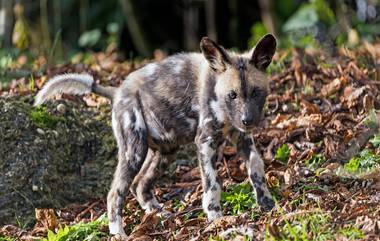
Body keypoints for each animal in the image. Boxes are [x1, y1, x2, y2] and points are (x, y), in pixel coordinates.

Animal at [35, 33, 276, 235]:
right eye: (232, 95)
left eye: (256, 92)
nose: (247, 120)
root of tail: (117, 92)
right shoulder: (205, 142)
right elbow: (213, 183)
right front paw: (216, 218)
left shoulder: (242, 138)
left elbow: (256, 166)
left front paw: (267, 204)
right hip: (134, 151)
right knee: (115, 194)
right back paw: (119, 233)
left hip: (166, 150)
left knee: (140, 184)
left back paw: (158, 213)